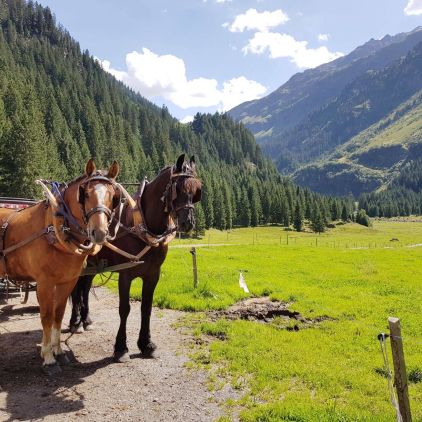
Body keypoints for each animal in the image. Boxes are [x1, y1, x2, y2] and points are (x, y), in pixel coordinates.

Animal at [0, 160, 122, 374]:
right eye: (85, 194)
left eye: (113, 196)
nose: (99, 233)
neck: (55, 229)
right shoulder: (45, 283)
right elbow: (47, 317)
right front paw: (48, 358)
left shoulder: (67, 281)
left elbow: (58, 314)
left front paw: (58, 351)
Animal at [70, 153, 202, 362]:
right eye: (178, 188)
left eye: (196, 190)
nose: (187, 222)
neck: (143, 226)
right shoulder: (125, 275)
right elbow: (124, 309)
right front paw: (121, 348)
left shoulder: (152, 275)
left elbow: (146, 308)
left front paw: (146, 344)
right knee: (75, 291)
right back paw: (75, 322)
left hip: (92, 266)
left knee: (85, 290)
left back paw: (86, 320)